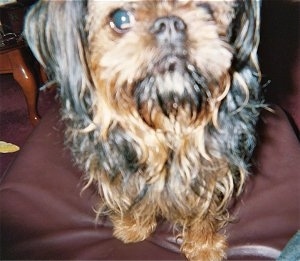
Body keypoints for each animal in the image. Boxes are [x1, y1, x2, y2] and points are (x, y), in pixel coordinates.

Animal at [25, 1, 262, 258]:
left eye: (206, 9)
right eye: (120, 18)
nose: (169, 23)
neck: (167, 113)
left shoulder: (211, 169)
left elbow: (204, 208)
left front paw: (203, 245)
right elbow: (132, 193)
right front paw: (134, 227)